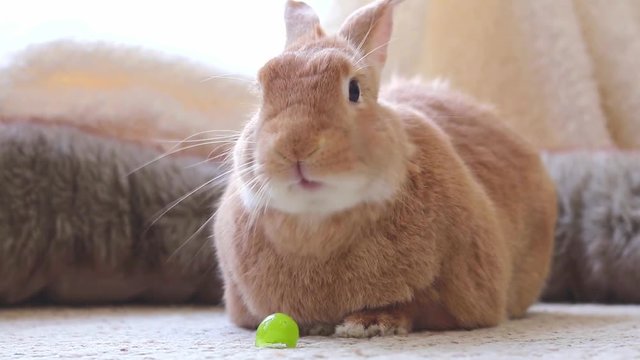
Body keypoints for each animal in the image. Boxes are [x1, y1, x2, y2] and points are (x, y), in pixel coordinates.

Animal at [214, 0, 556, 338]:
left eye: (354, 90)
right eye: (262, 92)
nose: (296, 146)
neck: (317, 226)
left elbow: (418, 304)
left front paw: (369, 324)